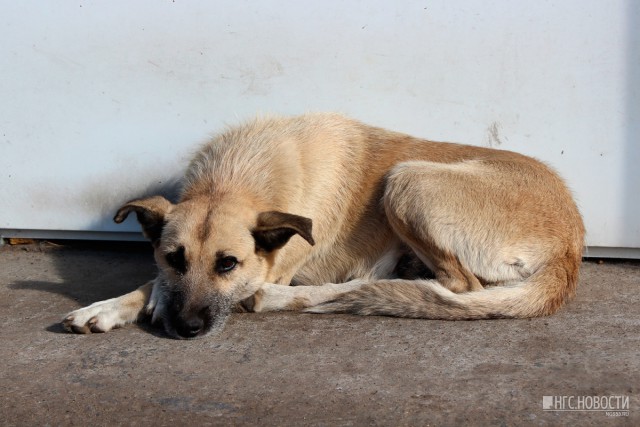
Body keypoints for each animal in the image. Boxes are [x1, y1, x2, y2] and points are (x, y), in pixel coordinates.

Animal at [62, 113, 584, 342]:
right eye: (176, 258)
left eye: (228, 264)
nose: (187, 329)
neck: (232, 178)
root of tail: (571, 247)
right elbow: (150, 279)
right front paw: (111, 306)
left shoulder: (268, 267)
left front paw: (146, 302)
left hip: (407, 179)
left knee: (458, 287)